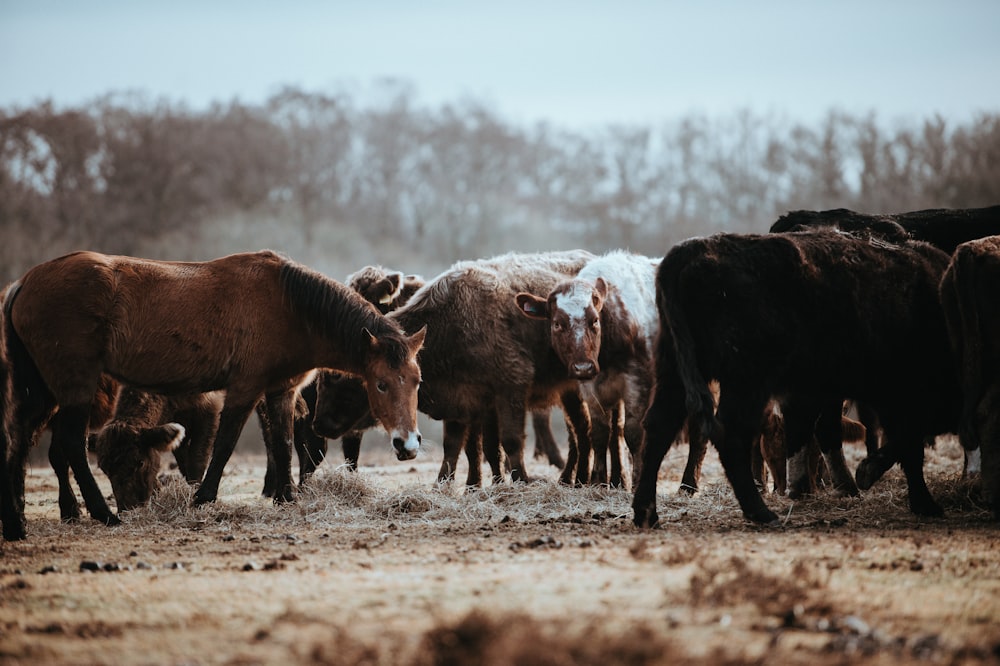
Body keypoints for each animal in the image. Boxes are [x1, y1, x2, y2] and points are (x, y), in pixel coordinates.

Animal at [312, 252, 596, 486]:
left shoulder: (509, 388)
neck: (451, 323)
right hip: (569, 391)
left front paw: (518, 481)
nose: (319, 424)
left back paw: (580, 478)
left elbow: (509, 441)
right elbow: (461, 445)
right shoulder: (463, 400)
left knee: (582, 430)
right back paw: (570, 478)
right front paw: (453, 484)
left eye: (338, 377)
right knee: (578, 430)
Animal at [512, 250, 660, 488]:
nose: (583, 367)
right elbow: (599, 432)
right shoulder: (590, 387)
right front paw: (598, 481)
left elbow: (634, 432)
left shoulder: (637, 382)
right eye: (557, 323)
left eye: (595, 320)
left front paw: (637, 481)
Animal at [632, 231, 960, 528]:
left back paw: (646, 514)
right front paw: (919, 500)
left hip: (676, 371)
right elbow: (908, 443)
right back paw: (761, 513)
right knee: (730, 434)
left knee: (660, 426)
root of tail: (692, 249)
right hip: (746, 382)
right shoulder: (899, 392)